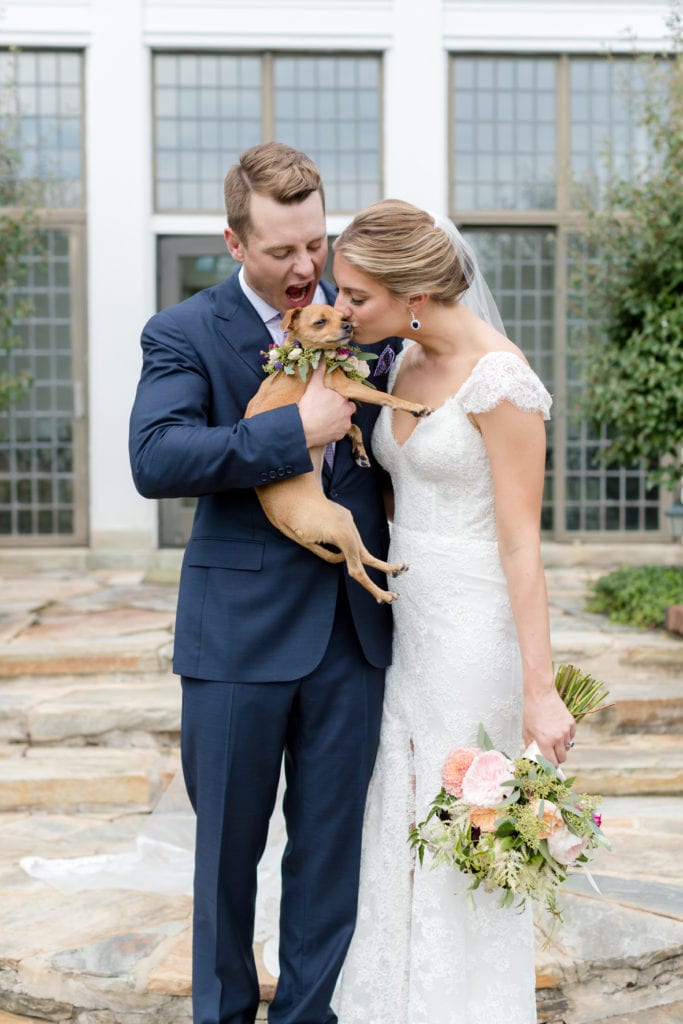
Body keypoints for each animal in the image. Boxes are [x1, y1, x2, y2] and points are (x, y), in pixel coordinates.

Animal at [242, 301, 430, 598]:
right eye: (320, 322)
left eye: (343, 316)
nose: (348, 326)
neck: (300, 357)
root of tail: (280, 522)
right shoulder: (342, 385)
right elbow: (384, 397)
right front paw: (413, 407)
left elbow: (353, 428)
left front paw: (360, 453)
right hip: (339, 525)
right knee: (354, 569)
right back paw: (383, 594)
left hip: (344, 519)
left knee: (362, 554)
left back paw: (391, 568)